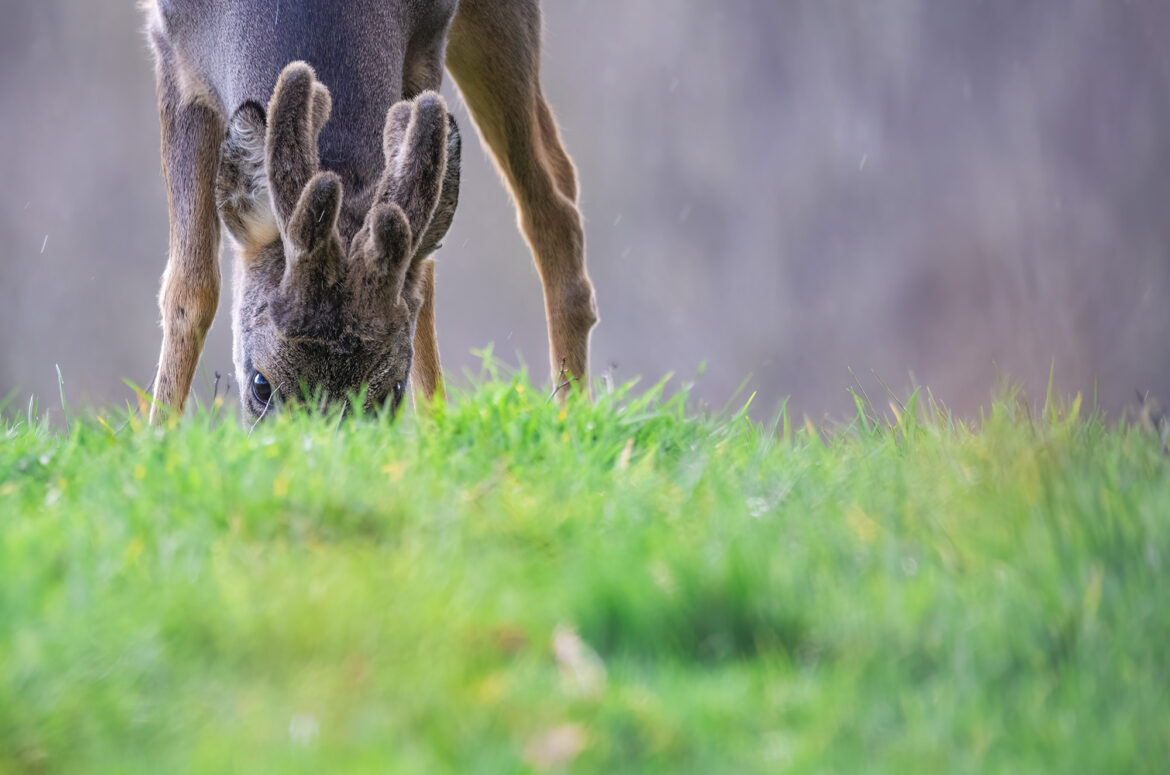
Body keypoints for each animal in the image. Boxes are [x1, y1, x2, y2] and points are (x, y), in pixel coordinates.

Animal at [141, 0, 598, 422]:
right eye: (260, 384)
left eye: (392, 390)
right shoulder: (172, 47)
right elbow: (190, 288)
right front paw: (159, 434)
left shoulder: (431, 37)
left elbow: (424, 285)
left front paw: (435, 431)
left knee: (552, 200)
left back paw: (573, 412)